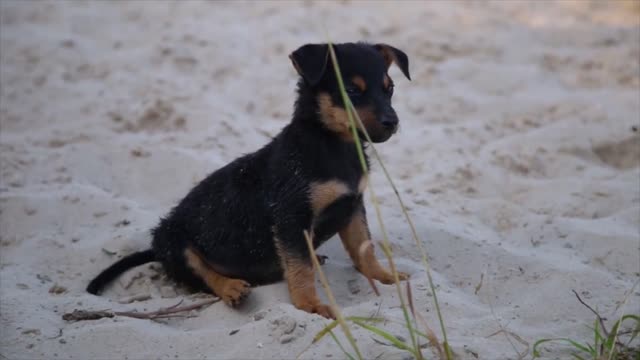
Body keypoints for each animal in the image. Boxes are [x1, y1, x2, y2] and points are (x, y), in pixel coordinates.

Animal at [86, 41, 410, 318]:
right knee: (200, 272)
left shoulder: (352, 206)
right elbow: (301, 269)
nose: (392, 122)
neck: (332, 145)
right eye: (351, 91)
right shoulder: (292, 218)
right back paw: (231, 287)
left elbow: (364, 248)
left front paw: (384, 276)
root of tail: (156, 248)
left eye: (390, 89)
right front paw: (310, 305)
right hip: (175, 240)